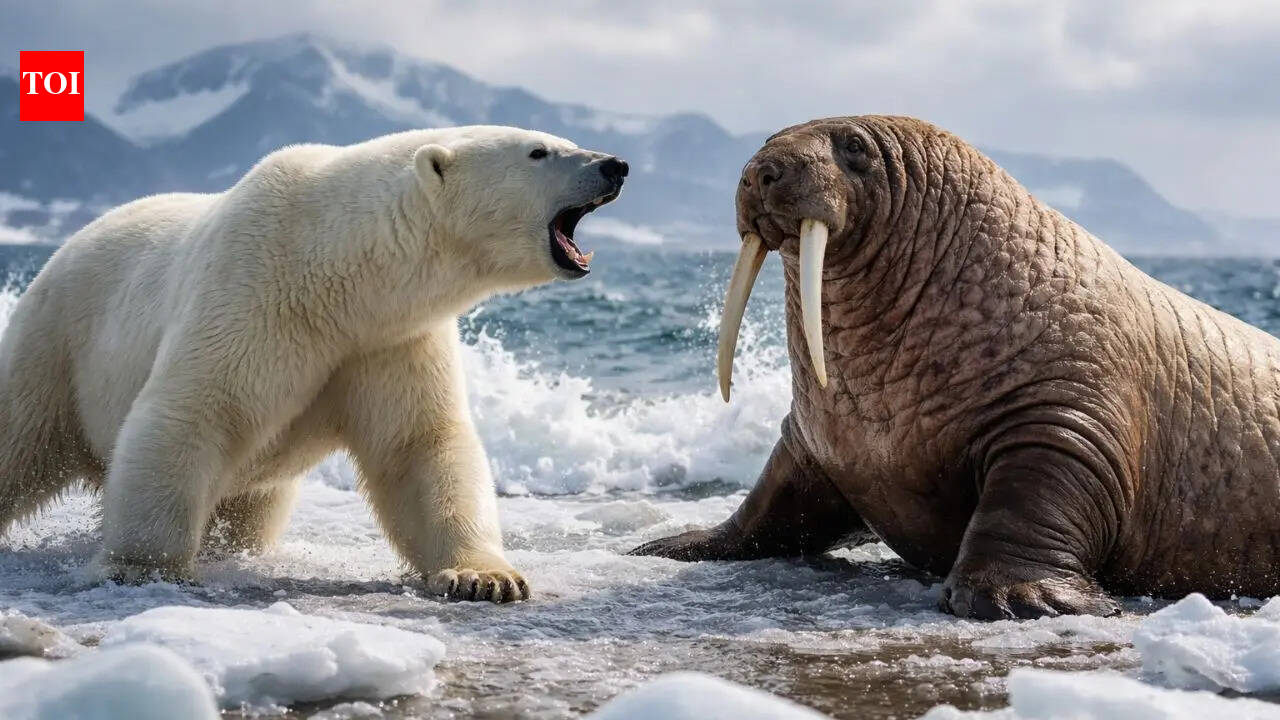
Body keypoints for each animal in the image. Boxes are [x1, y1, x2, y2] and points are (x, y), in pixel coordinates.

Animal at [0, 126, 628, 602]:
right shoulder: (252, 293)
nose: (614, 164)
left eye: (559, 138)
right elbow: (191, 413)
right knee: (20, 437)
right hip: (57, 342)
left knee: (251, 509)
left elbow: (420, 444)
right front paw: (141, 567)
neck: (335, 269)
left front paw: (485, 577)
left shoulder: (390, 338)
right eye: (539, 151)